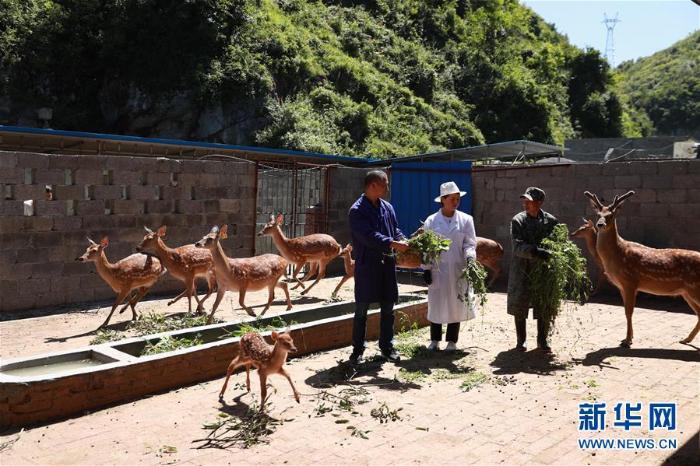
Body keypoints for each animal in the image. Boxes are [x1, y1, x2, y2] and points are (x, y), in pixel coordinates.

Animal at [584, 189, 700, 346]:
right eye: (598, 214)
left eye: (611, 215)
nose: (600, 224)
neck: (618, 253)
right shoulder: (621, 286)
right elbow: (626, 312)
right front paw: (628, 338)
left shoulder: (630, 281)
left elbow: (629, 312)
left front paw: (627, 341)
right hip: (687, 292)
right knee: (699, 313)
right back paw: (686, 339)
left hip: (694, 288)